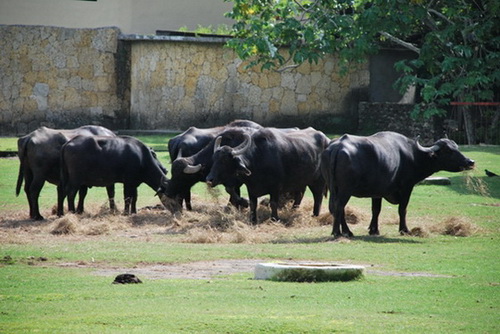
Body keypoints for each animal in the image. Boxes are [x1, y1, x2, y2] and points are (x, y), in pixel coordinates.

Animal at [320, 130, 476, 237]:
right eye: (449, 151)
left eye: (457, 147)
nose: (470, 162)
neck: (413, 155)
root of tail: (337, 147)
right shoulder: (407, 187)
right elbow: (403, 209)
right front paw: (404, 230)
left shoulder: (377, 192)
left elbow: (376, 210)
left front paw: (374, 230)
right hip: (345, 189)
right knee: (339, 207)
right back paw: (339, 232)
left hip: (334, 188)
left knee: (337, 208)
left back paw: (345, 231)